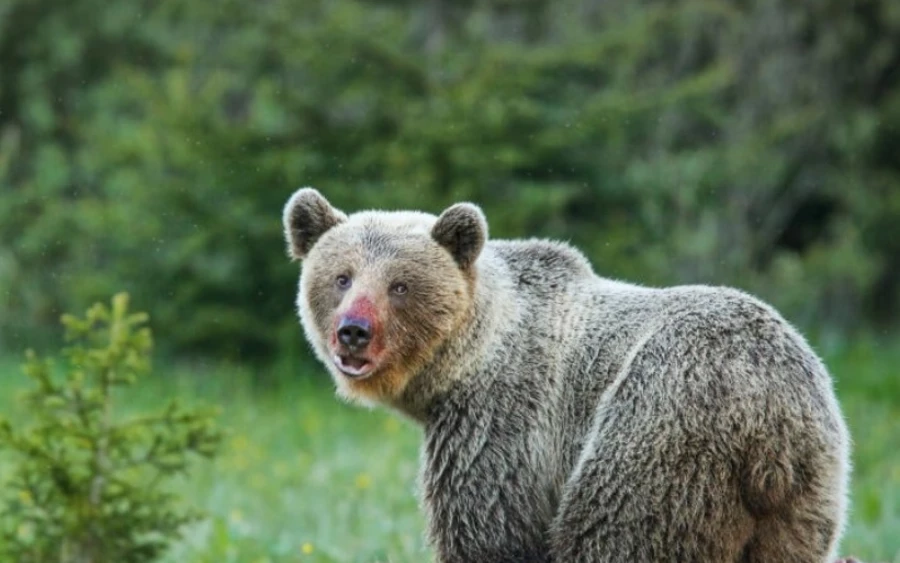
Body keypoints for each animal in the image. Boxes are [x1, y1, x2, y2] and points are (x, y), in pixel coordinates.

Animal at [284, 187, 852, 560]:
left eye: (399, 285)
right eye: (342, 277)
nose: (353, 331)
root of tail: (769, 417)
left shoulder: (501, 423)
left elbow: (492, 531)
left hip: (662, 428)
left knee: (614, 535)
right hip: (808, 494)